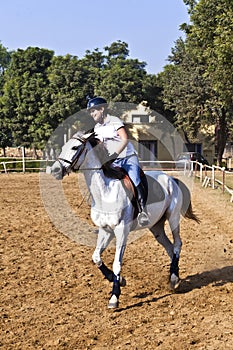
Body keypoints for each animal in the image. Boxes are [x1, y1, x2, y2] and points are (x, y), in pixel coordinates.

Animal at [48, 132, 199, 308]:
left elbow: (116, 263)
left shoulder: (121, 231)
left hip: (173, 217)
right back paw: (174, 278)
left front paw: (114, 296)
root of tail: (173, 180)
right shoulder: (105, 230)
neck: (105, 192)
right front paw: (119, 280)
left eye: (74, 147)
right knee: (169, 247)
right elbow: (96, 257)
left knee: (177, 244)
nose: (55, 170)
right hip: (156, 227)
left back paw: (174, 278)